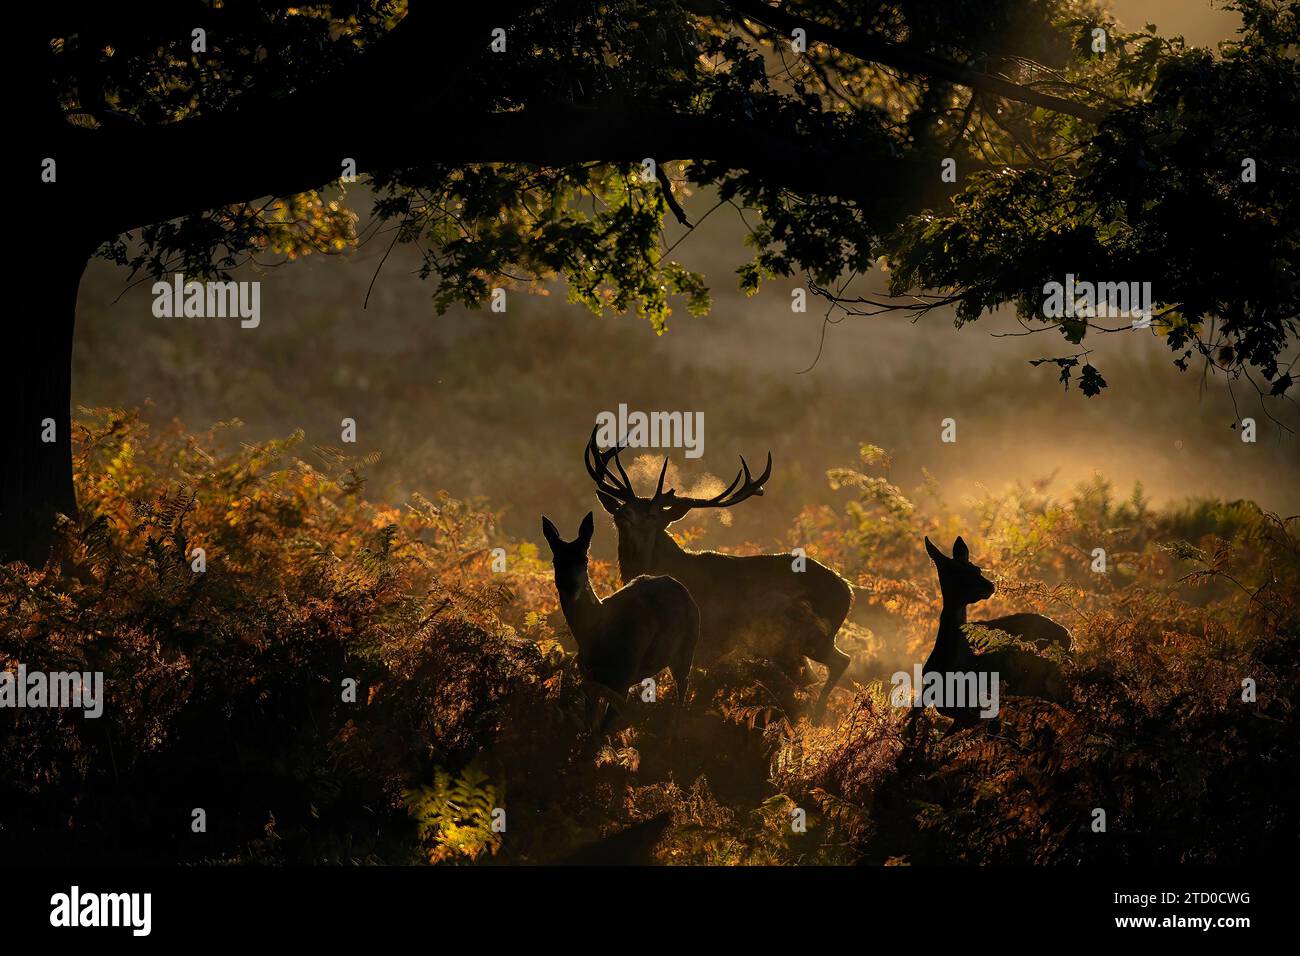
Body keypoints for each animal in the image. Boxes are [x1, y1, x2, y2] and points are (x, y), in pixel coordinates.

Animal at [540, 512, 702, 738]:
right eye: (556, 560)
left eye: (585, 559)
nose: (570, 587)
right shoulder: (590, 679)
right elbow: (591, 728)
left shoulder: (623, 679)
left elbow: (602, 732)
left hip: (688, 648)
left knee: (682, 693)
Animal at [587, 431, 852, 717]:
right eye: (626, 503)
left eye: (652, 514)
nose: (622, 512)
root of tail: (848, 591)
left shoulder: (699, 641)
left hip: (805, 636)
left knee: (841, 661)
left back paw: (818, 716)